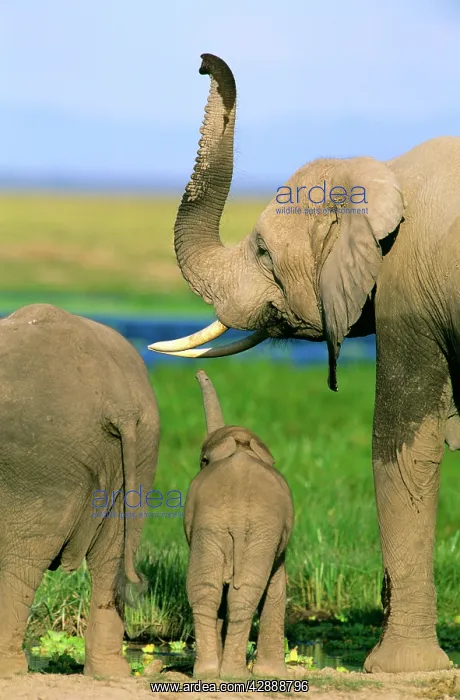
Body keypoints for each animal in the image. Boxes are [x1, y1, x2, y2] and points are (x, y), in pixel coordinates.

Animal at [0, 303, 159, 678]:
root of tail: (119, 400)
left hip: (39, 464)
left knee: (20, 563)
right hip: (144, 448)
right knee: (112, 556)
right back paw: (109, 673)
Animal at [184, 369, 294, 680]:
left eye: (202, 460)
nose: (199, 373)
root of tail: (237, 515)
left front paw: (270, 675)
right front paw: (271, 675)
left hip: (226, 527)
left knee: (209, 589)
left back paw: (215, 673)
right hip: (228, 527)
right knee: (228, 592)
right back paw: (224, 673)